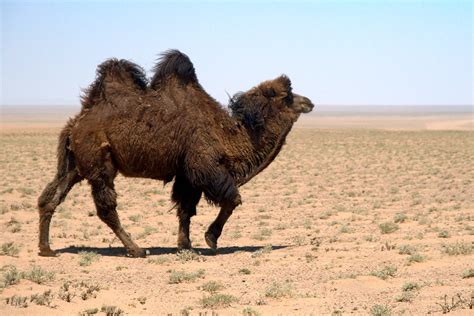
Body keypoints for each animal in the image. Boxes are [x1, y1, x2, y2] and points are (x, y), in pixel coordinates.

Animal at [36, 49, 312, 256]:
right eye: (287, 95)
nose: (309, 101)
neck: (228, 136)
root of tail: (76, 123)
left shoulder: (186, 174)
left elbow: (185, 209)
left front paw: (185, 245)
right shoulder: (204, 166)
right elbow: (232, 200)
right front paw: (210, 238)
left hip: (74, 163)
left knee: (51, 196)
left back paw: (46, 249)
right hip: (98, 160)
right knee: (106, 207)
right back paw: (136, 249)